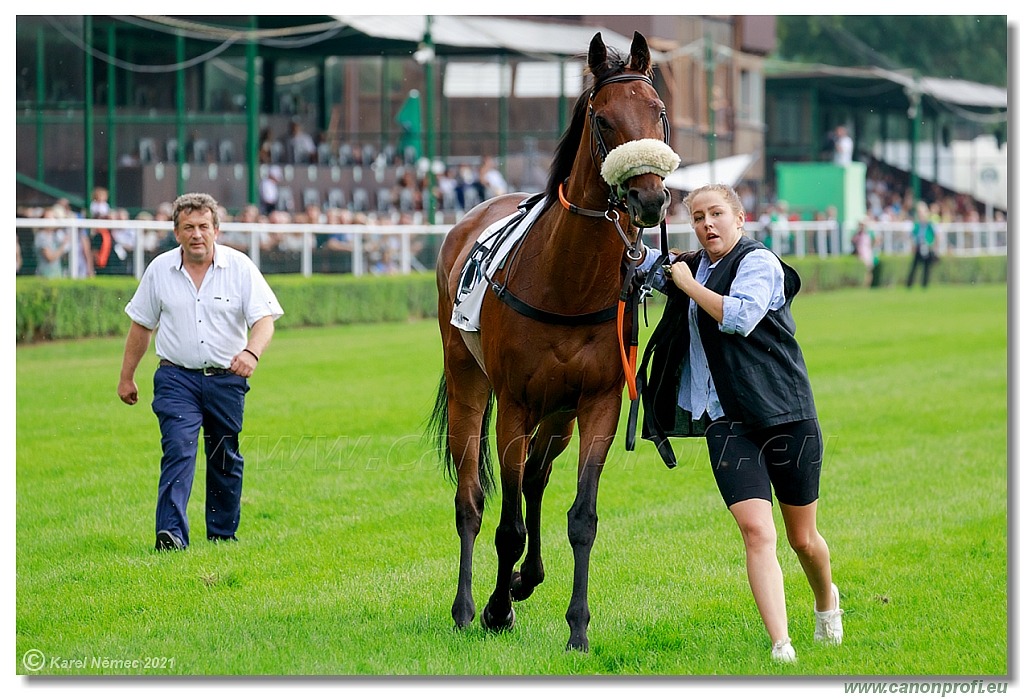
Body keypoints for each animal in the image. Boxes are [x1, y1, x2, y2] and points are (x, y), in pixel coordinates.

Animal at [428, 28, 675, 650]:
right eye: (604, 119)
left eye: (657, 111)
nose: (650, 199)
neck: (567, 279)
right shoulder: (515, 403)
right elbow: (506, 525)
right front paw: (495, 610)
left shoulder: (599, 402)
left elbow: (581, 516)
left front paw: (577, 627)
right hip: (469, 382)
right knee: (473, 498)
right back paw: (469, 605)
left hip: (559, 413)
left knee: (537, 478)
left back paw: (526, 579)